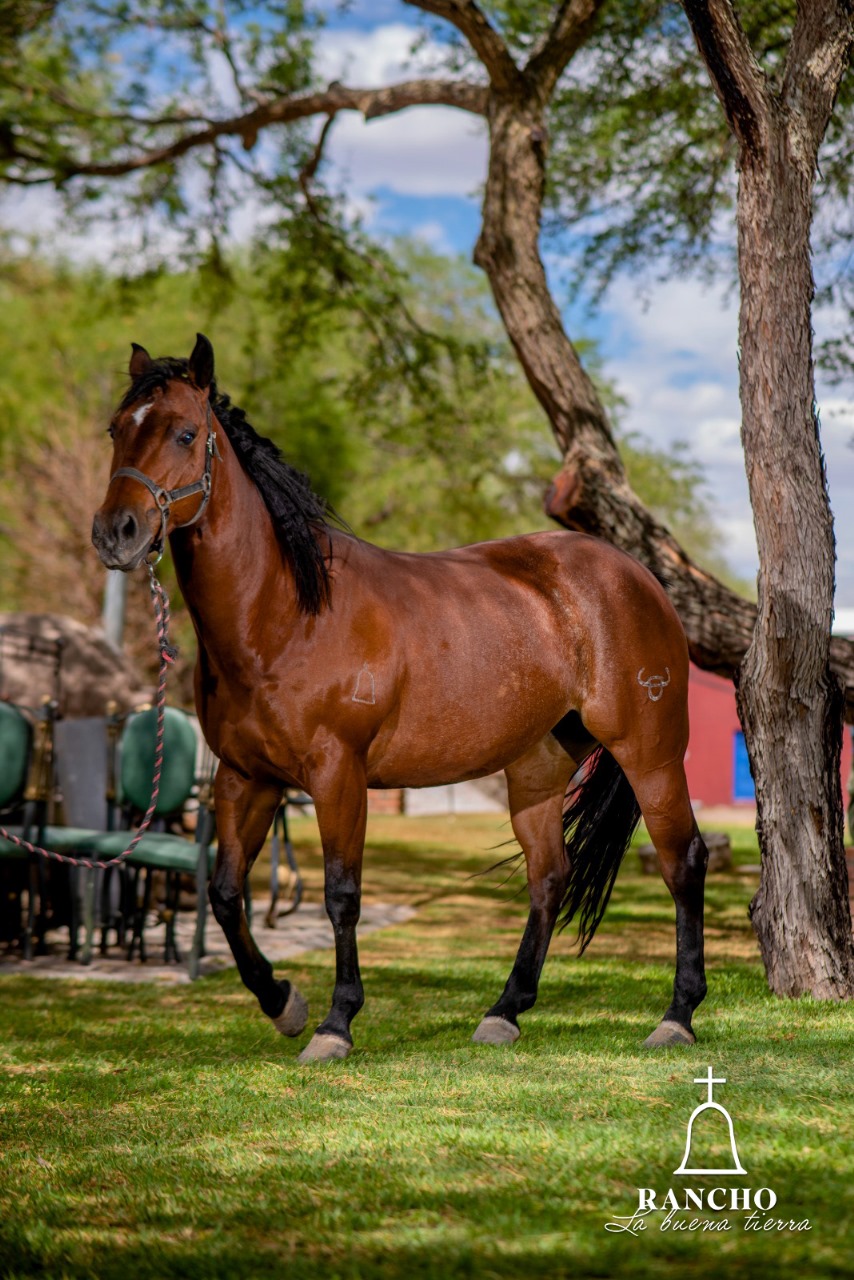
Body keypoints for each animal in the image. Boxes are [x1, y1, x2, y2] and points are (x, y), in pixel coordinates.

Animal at [92, 335, 706, 1064]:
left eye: (185, 433)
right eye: (116, 430)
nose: (115, 533)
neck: (286, 613)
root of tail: (639, 577)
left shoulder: (337, 776)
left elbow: (342, 895)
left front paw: (335, 1023)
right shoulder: (247, 779)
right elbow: (224, 893)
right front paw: (283, 1002)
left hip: (650, 753)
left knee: (682, 862)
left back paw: (677, 1016)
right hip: (538, 765)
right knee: (550, 876)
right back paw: (504, 1012)